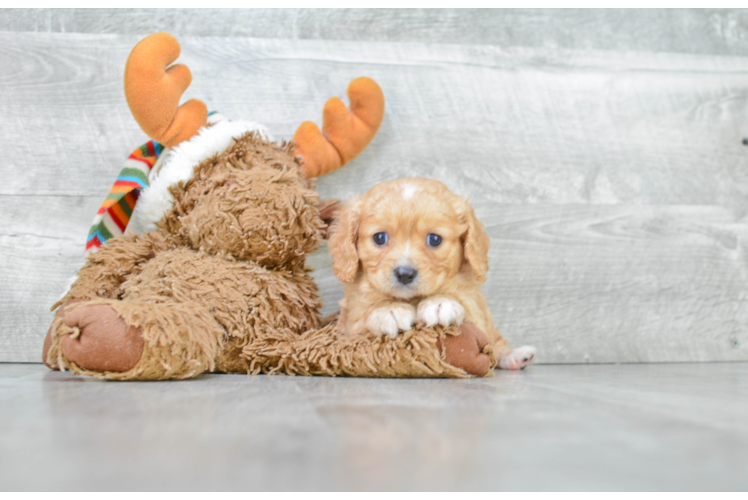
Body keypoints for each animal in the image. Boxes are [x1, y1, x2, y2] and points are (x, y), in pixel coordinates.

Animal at [330, 178, 536, 370]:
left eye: (435, 239)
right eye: (379, 237)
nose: (404, 274)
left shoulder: (475, 310)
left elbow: (460, 299)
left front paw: (440, 302)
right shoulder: (347, 326)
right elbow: (362, 314)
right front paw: (388, 309)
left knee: (496, 343)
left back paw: (516, 356)